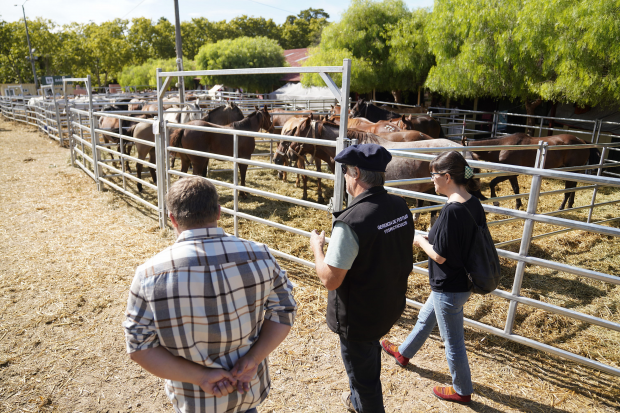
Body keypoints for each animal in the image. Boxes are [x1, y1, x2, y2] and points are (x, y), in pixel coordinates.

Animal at [464, 133, 600, 209]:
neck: (504, 146)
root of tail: (582, 141)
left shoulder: (508, 173)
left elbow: (492, 183)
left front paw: (496, 202)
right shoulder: (512, 174)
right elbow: (516, 189)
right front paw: (518, 205)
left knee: (568, 188)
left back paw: (561, 207)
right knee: (573, 187)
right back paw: (569, 205)